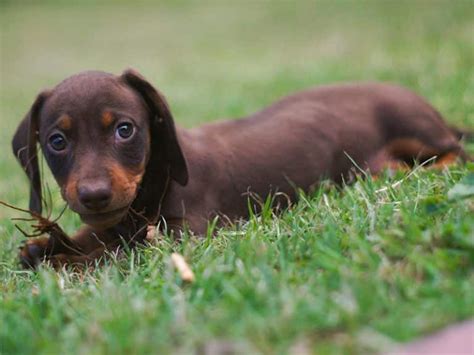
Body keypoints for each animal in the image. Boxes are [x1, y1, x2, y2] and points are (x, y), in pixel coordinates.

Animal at [12, 70, 466, 270]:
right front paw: (47, 246)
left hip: (416, 128)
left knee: (457, 153)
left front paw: (63, 260)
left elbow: (116, 251)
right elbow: (98, 238)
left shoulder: (185, 234)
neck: (156, 182)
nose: (93, 195)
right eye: (57, 141)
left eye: (125, 130)